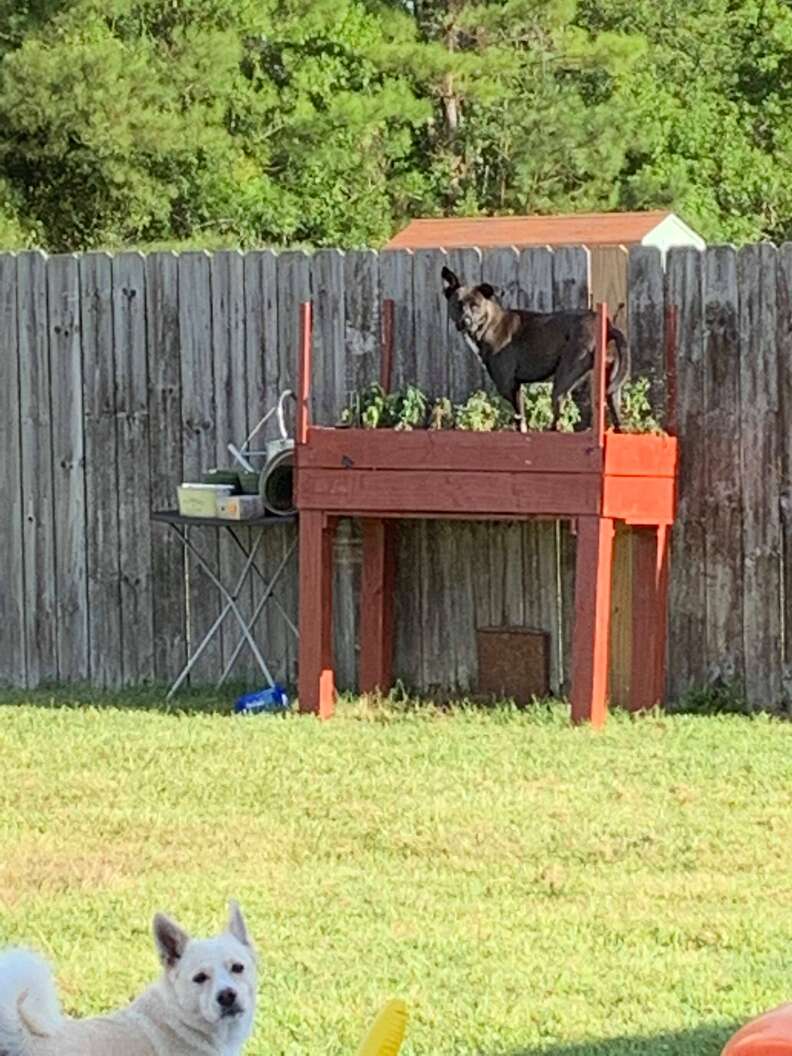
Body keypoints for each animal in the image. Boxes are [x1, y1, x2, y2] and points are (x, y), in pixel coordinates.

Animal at [443, 266, 629, 430]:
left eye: (475, 305)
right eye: (458, 304)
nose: (465, 322)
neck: (488, 325)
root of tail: (608, 326)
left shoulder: (507, 385)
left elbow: (519, 419)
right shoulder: (516, 387)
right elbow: (522, 421)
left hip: (562, 381)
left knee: (558, 421)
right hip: (612, 386)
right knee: (617, 419)